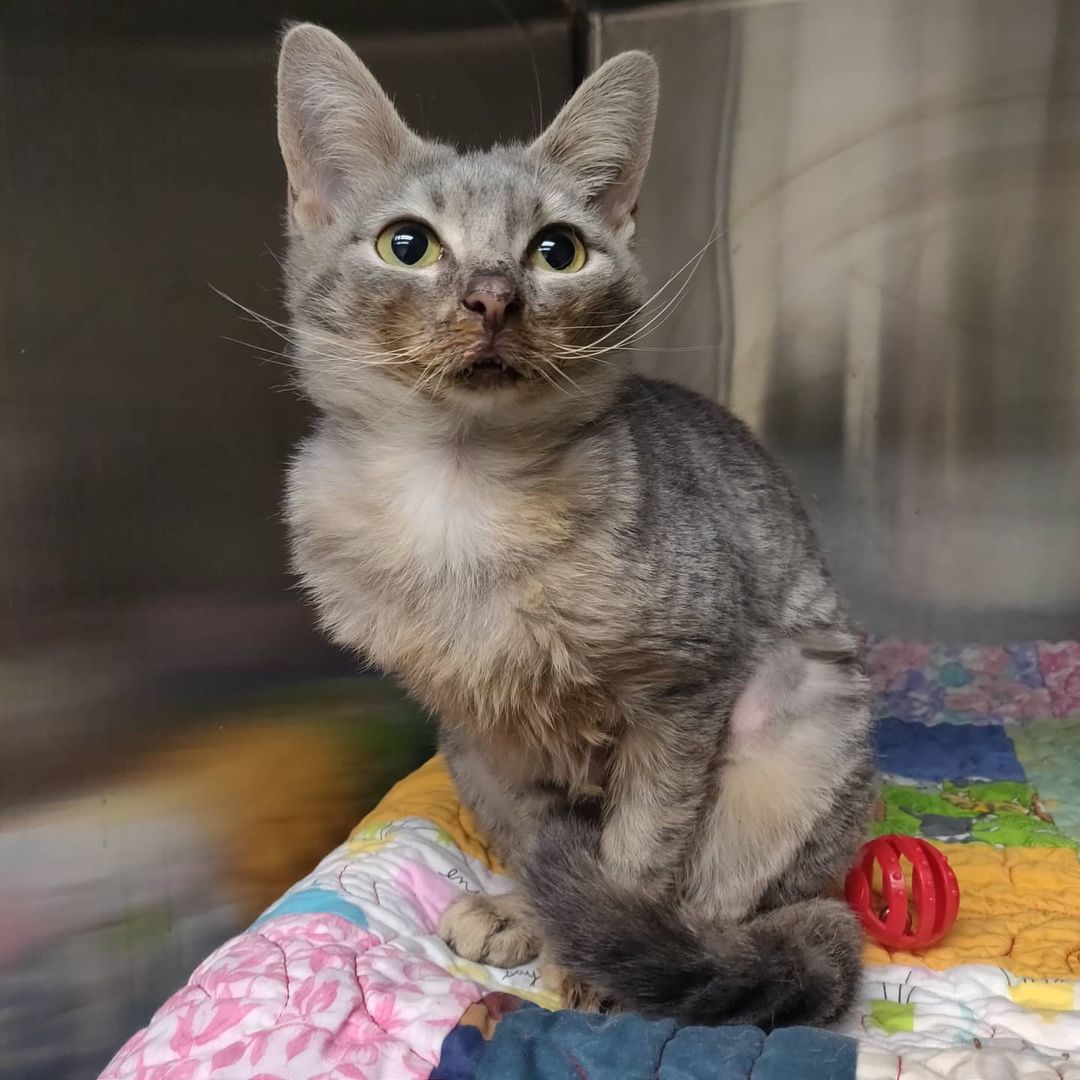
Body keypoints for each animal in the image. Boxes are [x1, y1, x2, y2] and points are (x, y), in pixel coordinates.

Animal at [274, 21, 872, 1023]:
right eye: (408, 244)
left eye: (557, 251)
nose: (491, 296)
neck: (463, 500)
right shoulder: (485, 729)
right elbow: (534, 835)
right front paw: (535, 912)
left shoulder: (685, 694)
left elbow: (644, 849)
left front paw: (596, 963)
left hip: (797, 716)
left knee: (723, 900)